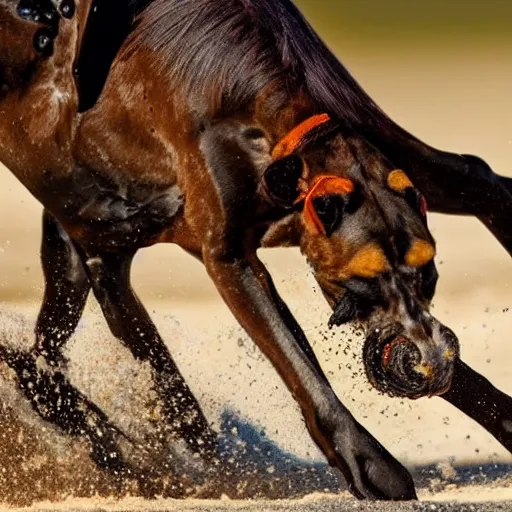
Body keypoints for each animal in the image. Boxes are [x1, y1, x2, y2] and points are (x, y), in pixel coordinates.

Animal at [1, 0, 512, 500]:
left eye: (430, 275)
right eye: (361, 281)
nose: (428, 363)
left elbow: (478, 180)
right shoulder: (228, 258)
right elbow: (297, 363)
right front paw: (371, 465)